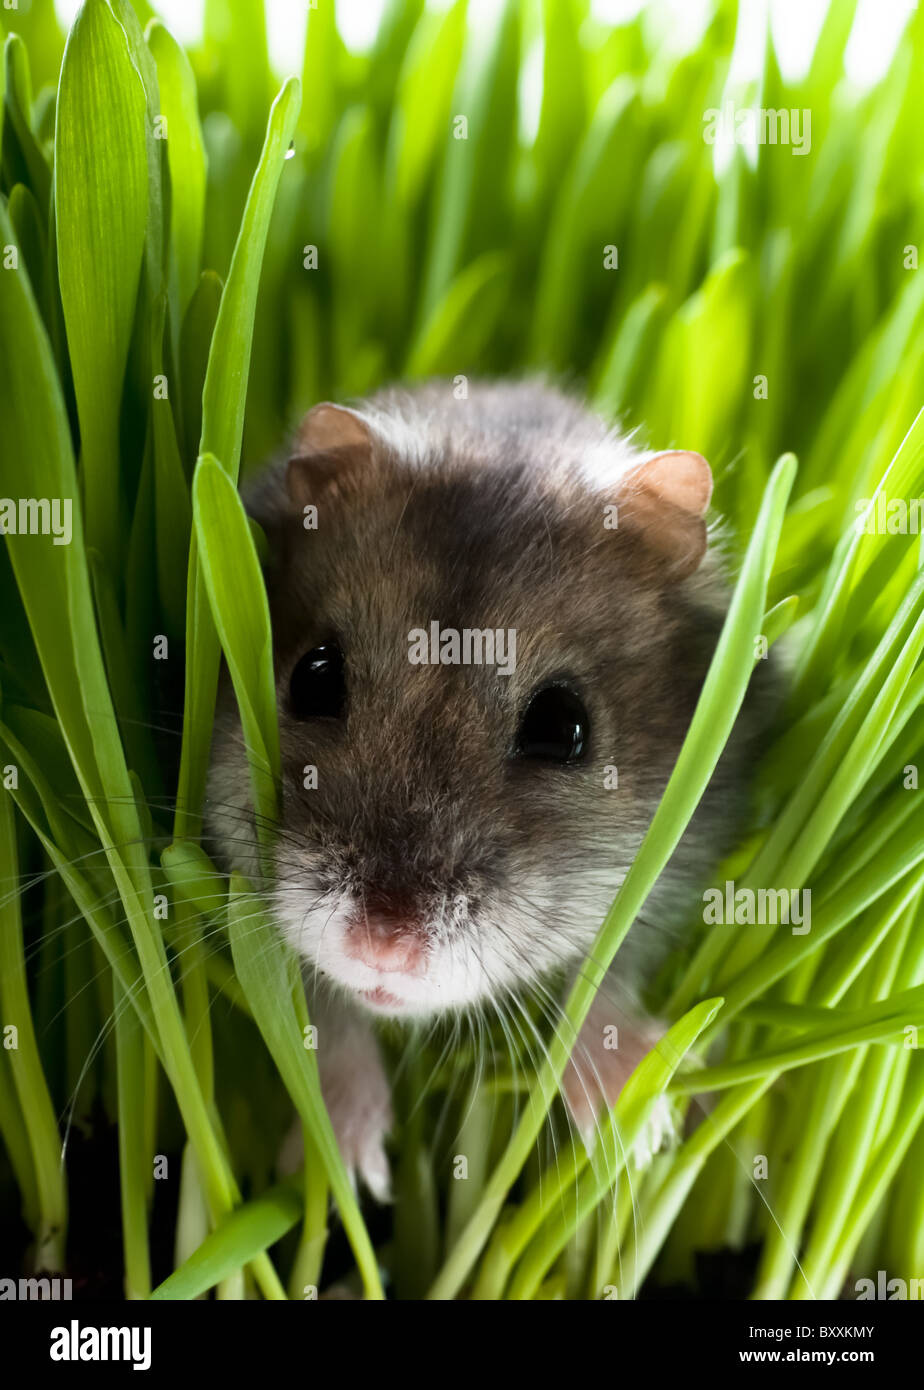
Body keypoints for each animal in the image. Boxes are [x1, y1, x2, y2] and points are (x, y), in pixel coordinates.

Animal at [207, 380, 774, 1194]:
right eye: (314, 676)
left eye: (563, 727)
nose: (382, 949)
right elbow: (319, 1004)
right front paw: (347, 1167)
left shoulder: (679, 869)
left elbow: (608, 971)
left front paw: (635, 1129)